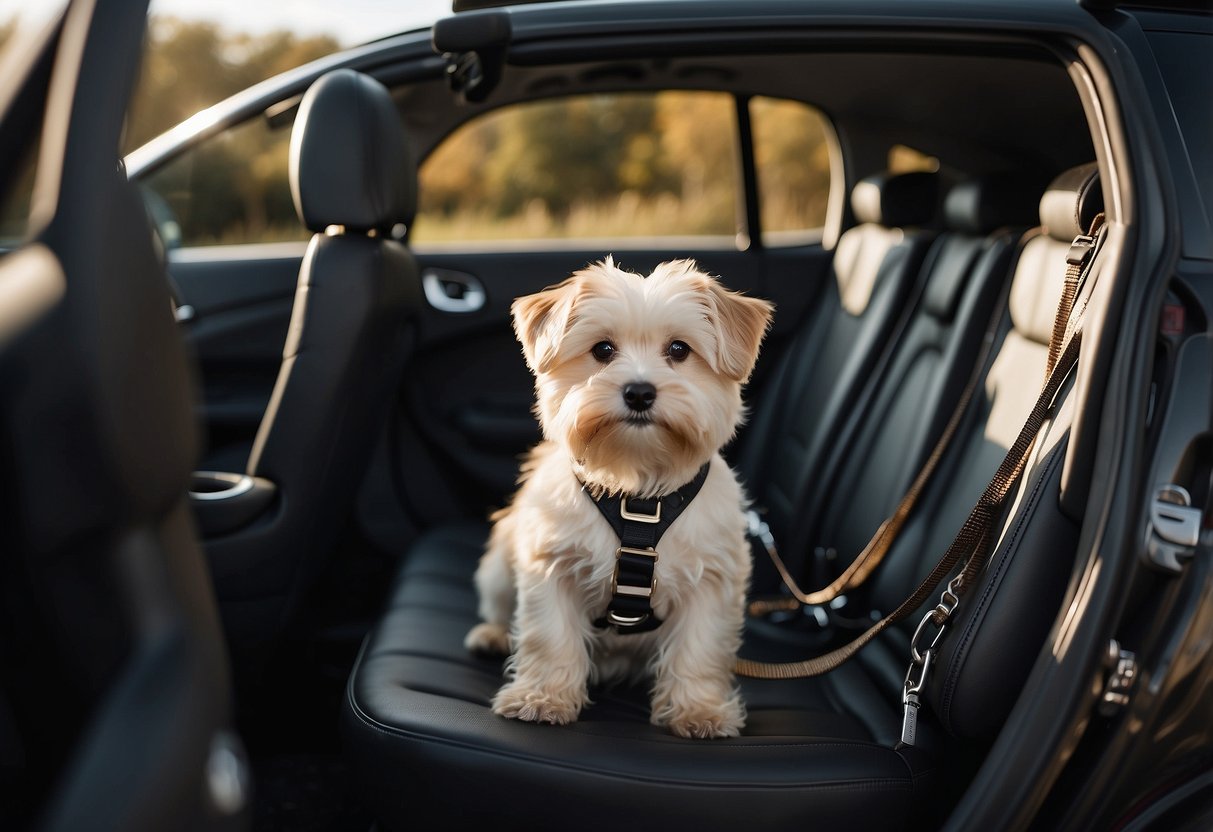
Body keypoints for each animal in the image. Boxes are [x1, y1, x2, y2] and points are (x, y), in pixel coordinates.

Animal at [463, 257, 766, 742]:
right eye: (603, 350)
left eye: (679, 349)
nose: (639, 391)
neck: (638, 490)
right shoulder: (551, 566)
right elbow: (549, 637)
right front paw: (542, 698)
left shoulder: (713, 579)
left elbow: (700, 647)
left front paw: (698, 710)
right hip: (497, 566)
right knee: (500, 607)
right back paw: (493, 635)